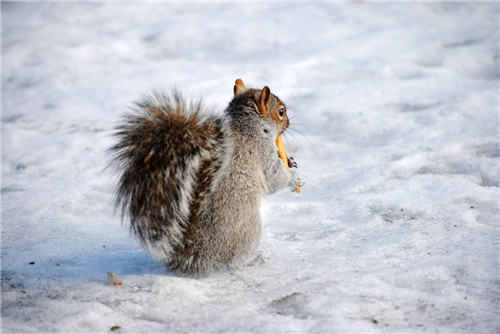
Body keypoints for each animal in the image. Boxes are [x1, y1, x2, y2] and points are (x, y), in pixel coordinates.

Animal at [109, 79, 304, 276]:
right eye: (281, 112)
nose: (288, 124)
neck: (249, 126)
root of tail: (194, 256)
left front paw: (290, 161)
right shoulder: (259, 151)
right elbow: (274, 177)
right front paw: (294, 178)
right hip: (247, 228)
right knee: (233, 260)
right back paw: (255, 258)